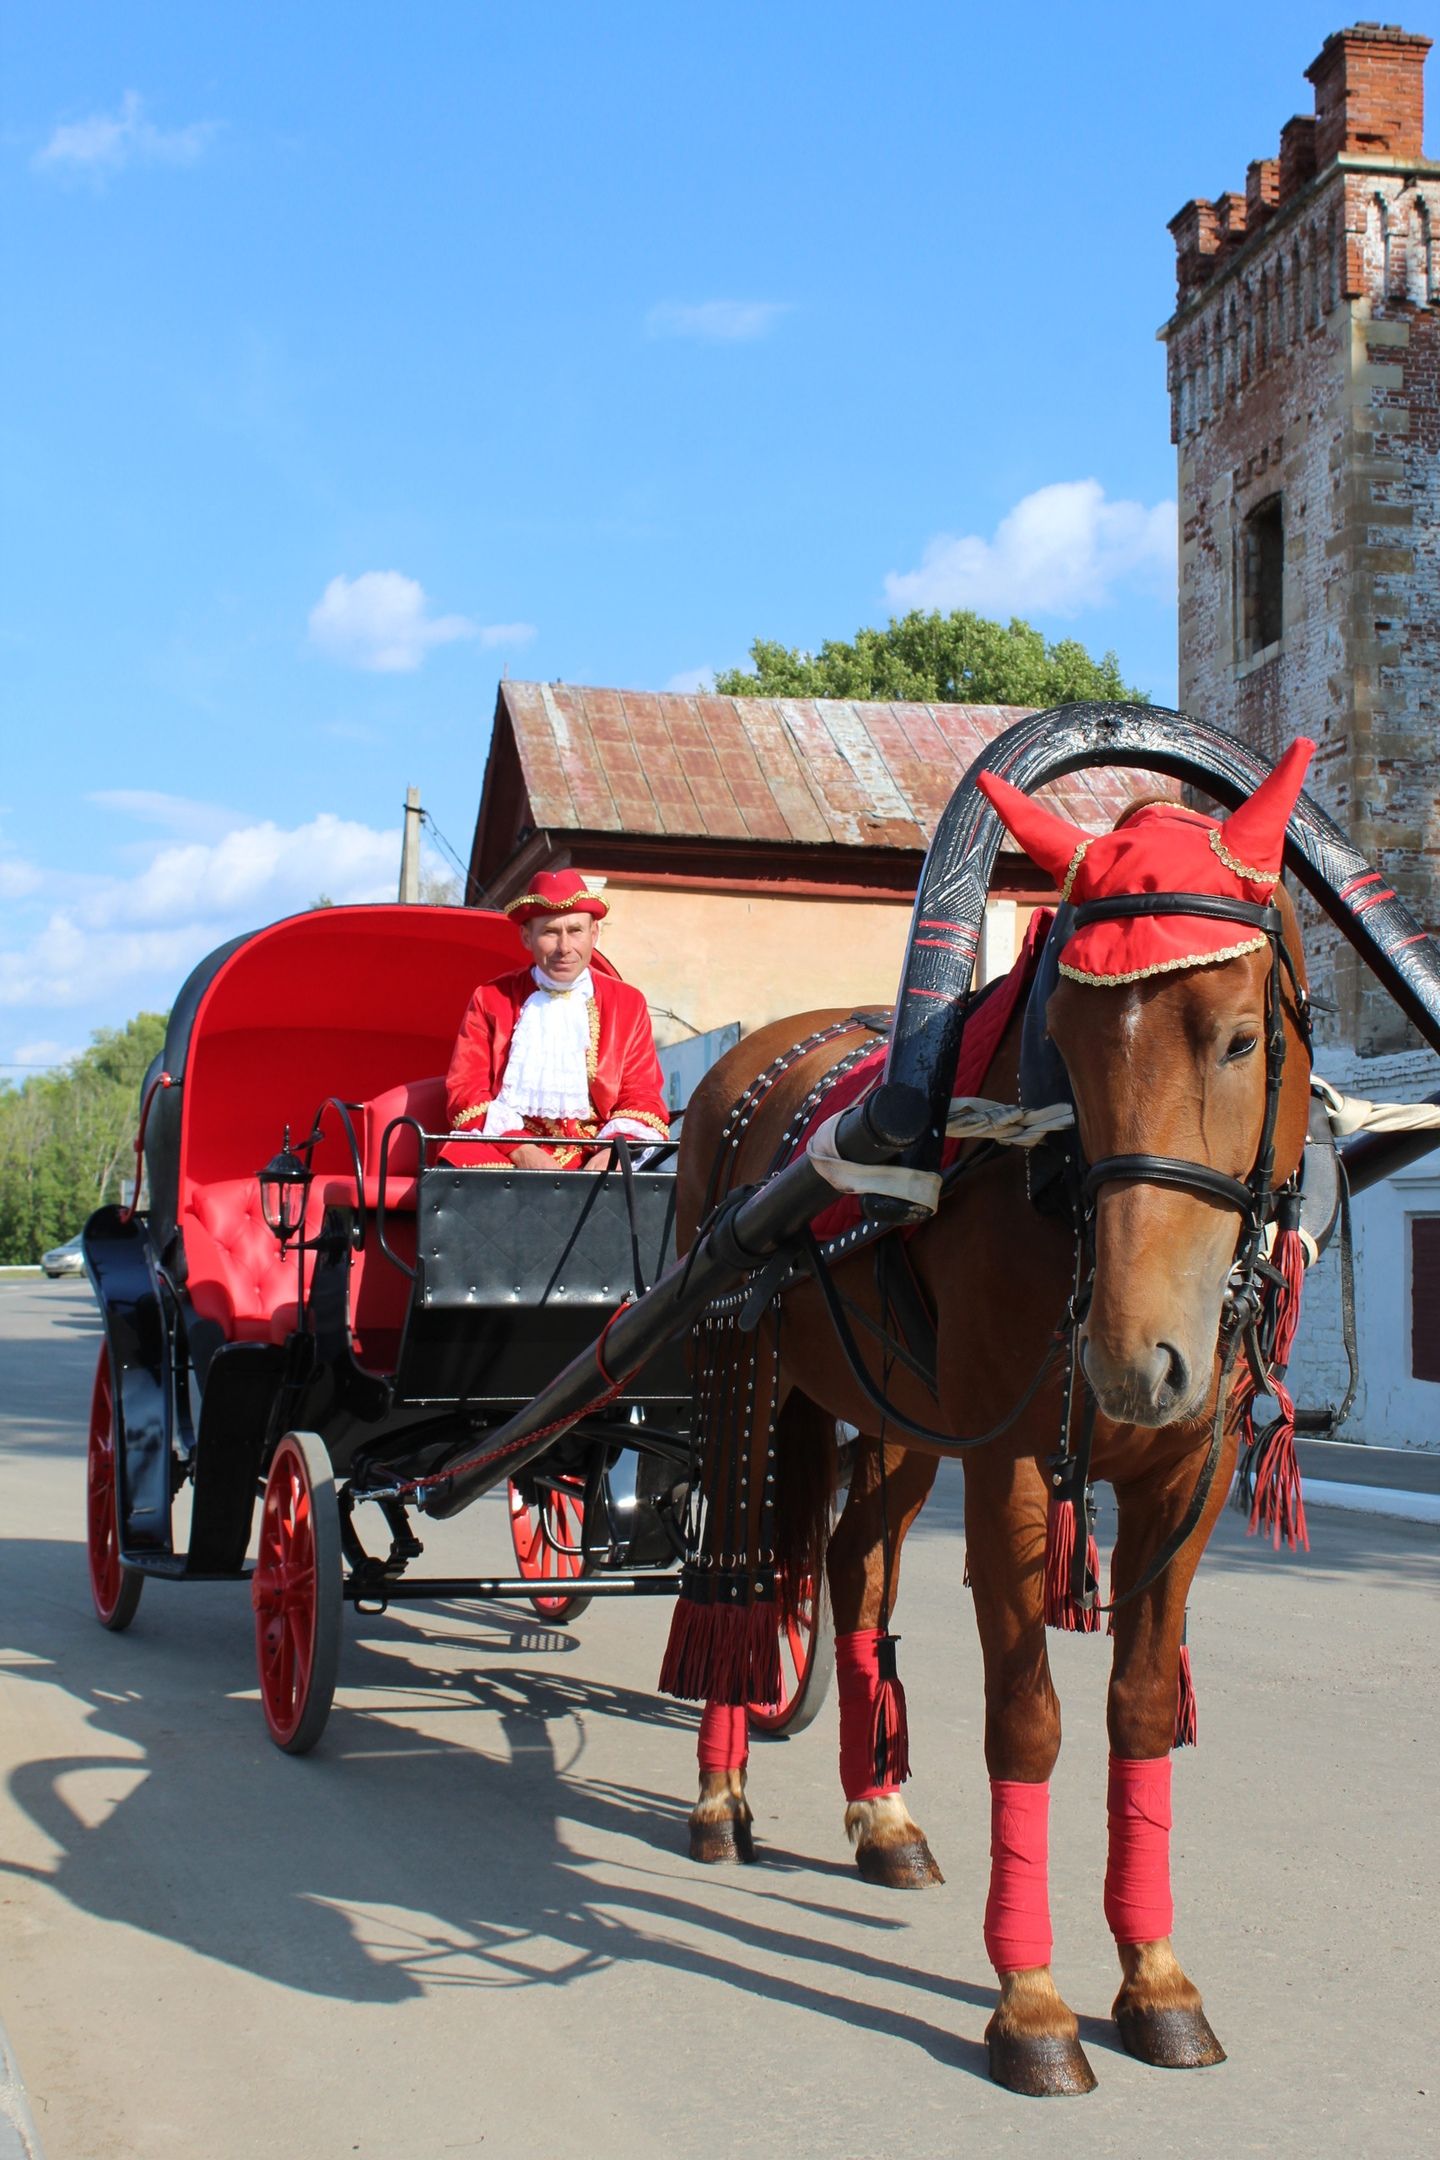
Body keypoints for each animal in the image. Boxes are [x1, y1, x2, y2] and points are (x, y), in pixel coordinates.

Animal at [669, 756, 1312, 2090]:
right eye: (1060, 1044)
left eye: (1239, 1038)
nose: (1133, 1362)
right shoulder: (1015, 1462)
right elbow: (1029, 1721)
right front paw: (1033, 2000)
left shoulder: (1191, 1473)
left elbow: (1137, 1709)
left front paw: (1155, 1977)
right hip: (740, 1370)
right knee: (738, 1578)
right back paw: (717, 1796)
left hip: (898, 1420)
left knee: (852, 1571)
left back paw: (882, 1815)